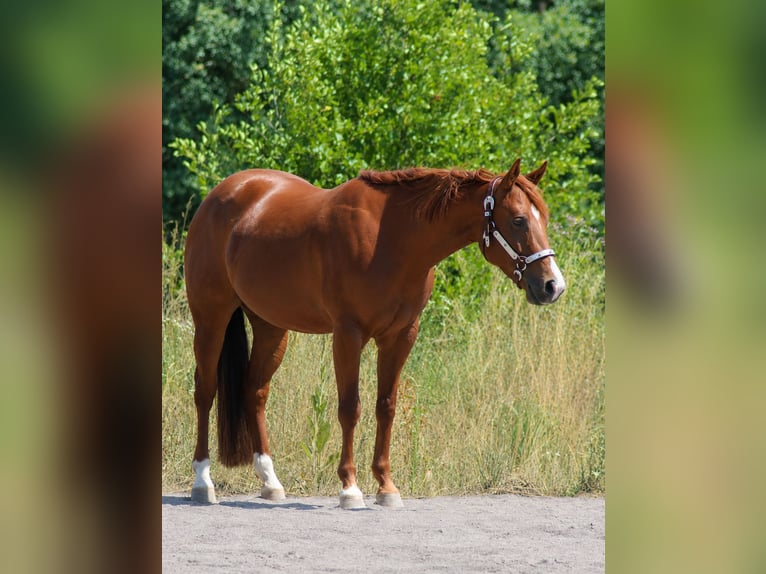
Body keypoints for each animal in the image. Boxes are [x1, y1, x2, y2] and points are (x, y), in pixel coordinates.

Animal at [184, 158, 565, 508]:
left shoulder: (401, 336)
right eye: (518, 220)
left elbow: (386, 407)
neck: (392, 239)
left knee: (255, 391)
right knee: (205, 391)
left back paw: (270, 481)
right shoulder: (348, 334)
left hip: (271, 328)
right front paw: (350, 488)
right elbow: (350, 408)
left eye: (543, 218)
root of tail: (220, 195)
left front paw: (386, 486)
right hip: (211, 319)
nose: (553, 286)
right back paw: (203, 482)